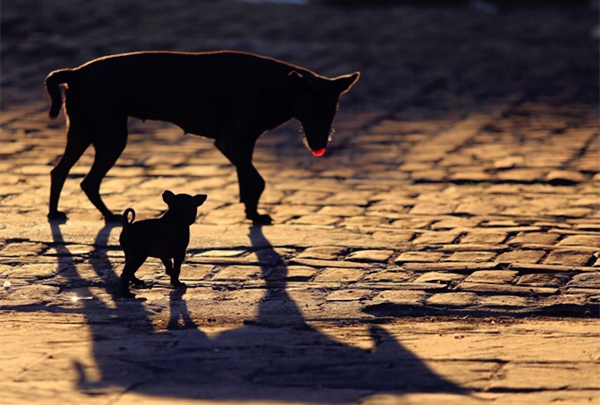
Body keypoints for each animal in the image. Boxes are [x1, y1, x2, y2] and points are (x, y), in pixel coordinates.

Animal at [45, 50, 360, 224]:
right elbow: (258, 180)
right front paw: (257, 215)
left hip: (82, 132)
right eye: (309, 110)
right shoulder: (231, 142)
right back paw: (108, 216)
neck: (279, 86)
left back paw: (57, 213)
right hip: (111, 137)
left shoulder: (244, 145)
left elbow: (246, 181)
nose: (319, 146)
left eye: (332, 111)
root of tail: (75, 72)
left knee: (60, 172)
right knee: (88, 180)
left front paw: (251, 214)